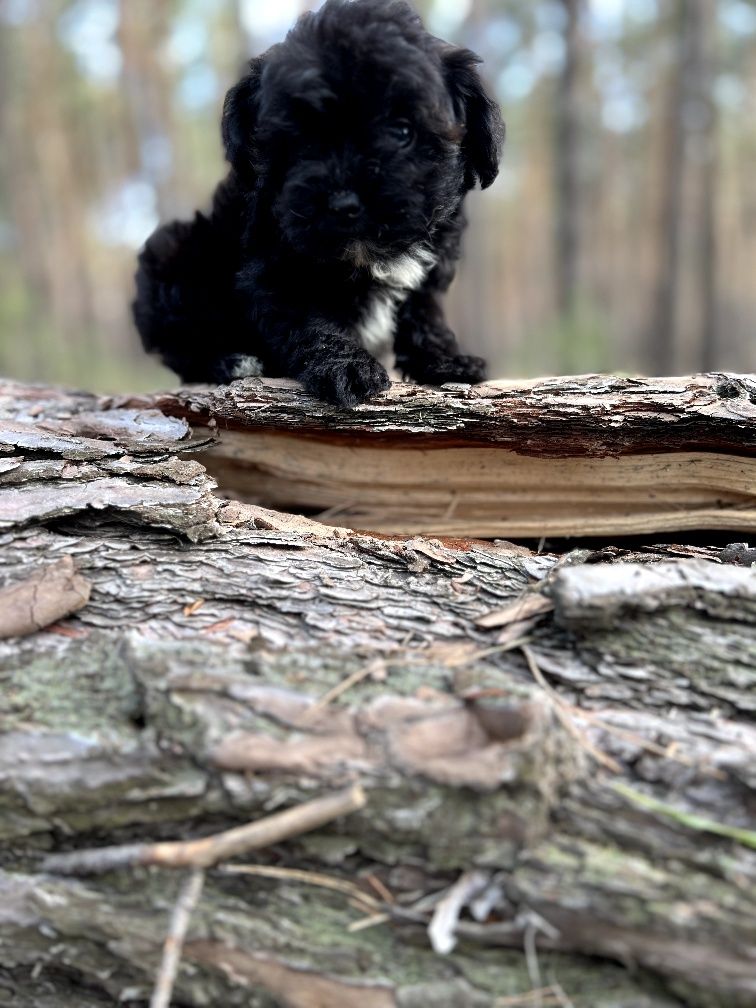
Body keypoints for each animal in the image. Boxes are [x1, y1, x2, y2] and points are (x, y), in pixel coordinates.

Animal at [134, 0, 506, 405]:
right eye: (299, 137)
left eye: (402, 131)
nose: (343, 202)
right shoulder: (276, 270)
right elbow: (311, 321)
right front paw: (348, 367)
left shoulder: (433, 262)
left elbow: (424, 312)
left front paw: (444, 360)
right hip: (172, 255)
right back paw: (231, 361)